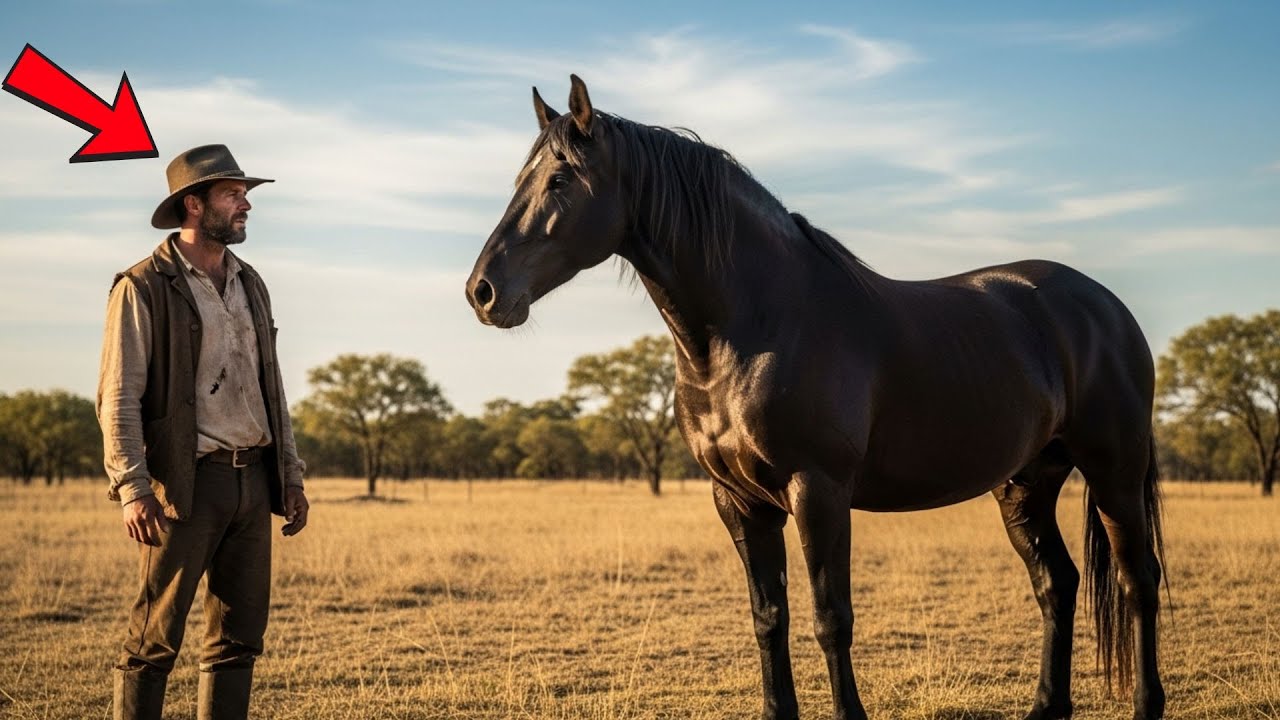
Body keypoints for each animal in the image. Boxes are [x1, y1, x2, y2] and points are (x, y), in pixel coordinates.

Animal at [465, 75, 1166, 720]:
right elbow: (768, 616)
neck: (755, 326)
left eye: (560, 180)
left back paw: (1145, 704)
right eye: (521, 178)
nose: (483, 292)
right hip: (1025, 483)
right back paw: (1046, 706)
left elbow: (831, 618)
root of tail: (1104, 306)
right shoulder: (739, 501)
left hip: (1114, 471)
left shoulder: (818, 490)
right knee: (1057, 583)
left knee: (1138, 580)